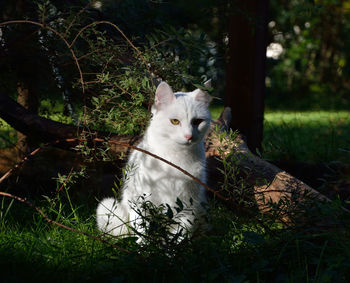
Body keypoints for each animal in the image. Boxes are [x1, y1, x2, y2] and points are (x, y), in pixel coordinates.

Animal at [95, 81, 211, 240]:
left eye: (197, 121)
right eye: (175, 121)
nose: (189, 136)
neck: (175, 158)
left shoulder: (189, 204)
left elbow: (180, 234)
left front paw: (172, 247)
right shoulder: (139, 200)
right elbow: (143, 230)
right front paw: (146, 246)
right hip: (108, 208)